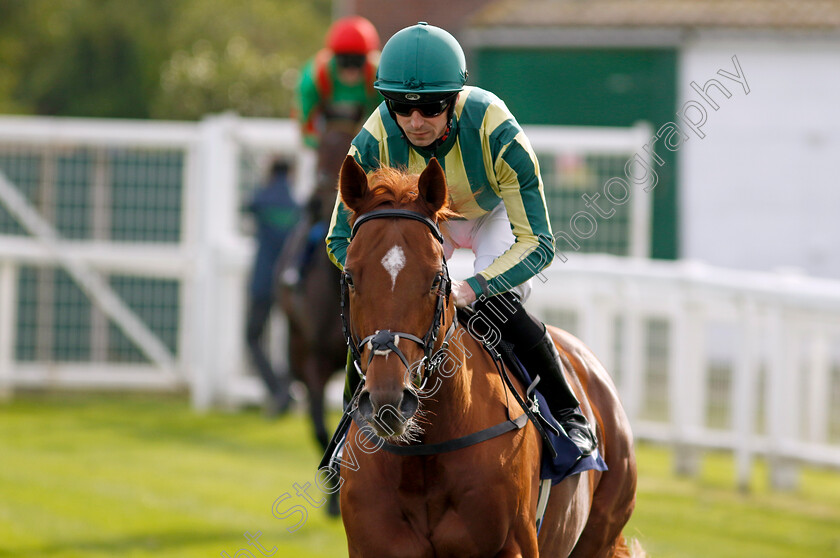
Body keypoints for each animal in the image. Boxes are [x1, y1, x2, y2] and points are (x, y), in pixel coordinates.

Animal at [334, 156, 636, 558]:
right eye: (351, 277)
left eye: (436, 279)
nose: (388, 401)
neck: (425, 451)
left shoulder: (513, 546)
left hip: (600, 533)